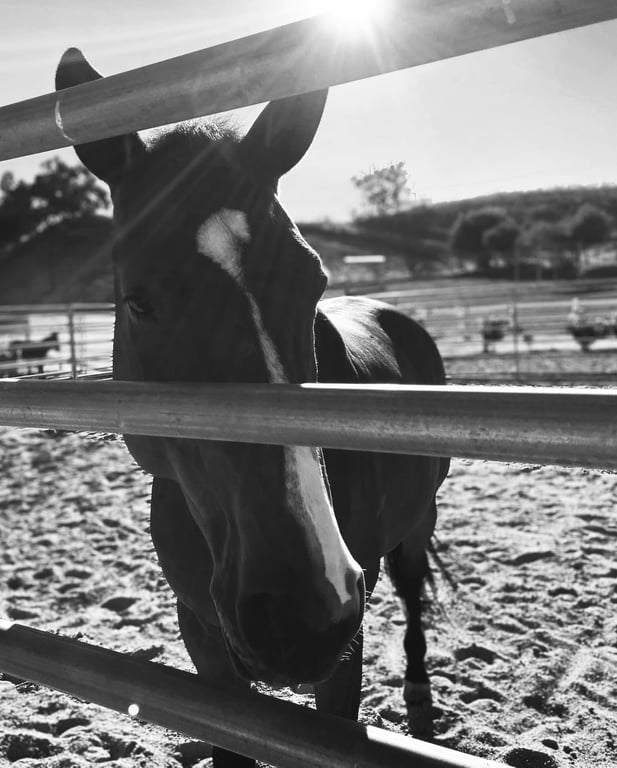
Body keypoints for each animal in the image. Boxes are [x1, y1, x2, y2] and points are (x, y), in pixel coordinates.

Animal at [56, 49, 450, 767]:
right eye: (139, 300)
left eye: (312, 280)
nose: (300, 613)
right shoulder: (204, 641)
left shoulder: (344, 651)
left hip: (415, 526)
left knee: (413, 597)